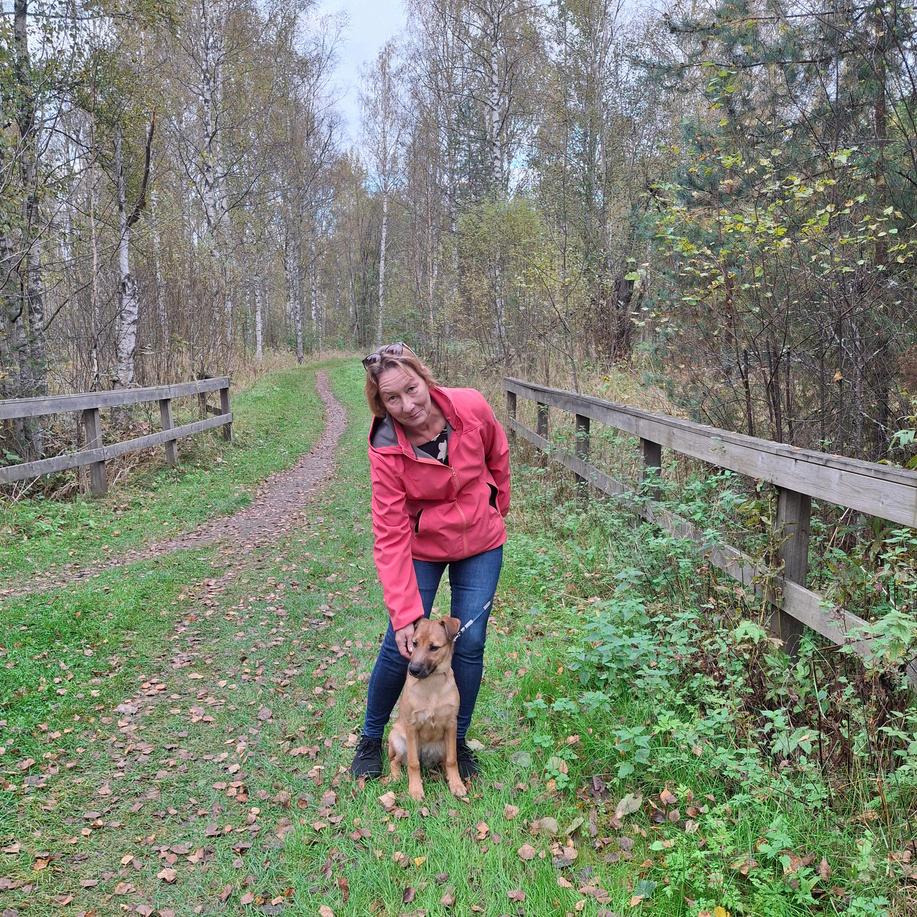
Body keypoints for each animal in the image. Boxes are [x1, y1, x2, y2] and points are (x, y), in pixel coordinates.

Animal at [388, 616, 467, 801]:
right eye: (414, 643)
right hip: (397, 739)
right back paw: (395, 776)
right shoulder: (411, 726)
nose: (413, 670)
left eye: (434, 647)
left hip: (444, 744)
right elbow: (413, 763)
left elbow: (452, 760)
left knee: (445, 761)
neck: (432, 683)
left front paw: (456, 784)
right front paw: (415, 790)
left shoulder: (451, 725)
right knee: (395, 761)